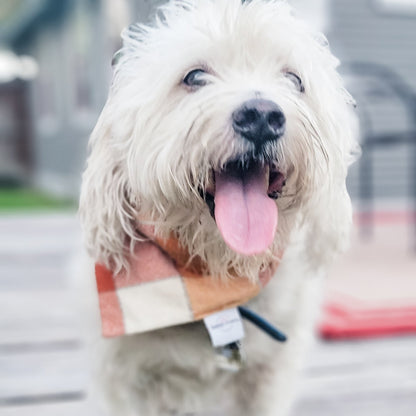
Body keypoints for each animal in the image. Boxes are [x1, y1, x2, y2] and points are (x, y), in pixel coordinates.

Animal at [80, 0, 358, 416]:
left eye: (294, 79)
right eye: (194, 76)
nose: (261, 116)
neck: (214, 280)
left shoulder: (268, 378)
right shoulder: (124, 382)